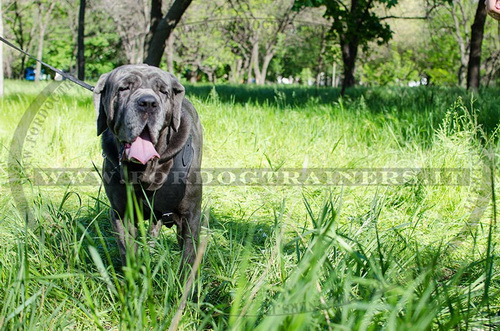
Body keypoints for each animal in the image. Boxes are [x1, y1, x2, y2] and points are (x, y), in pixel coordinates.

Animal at [93, 65, 202, 270]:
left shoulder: (190, 215)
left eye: (163, 91)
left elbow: (188, 257)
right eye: (124, 88)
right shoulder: (121, 213)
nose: (148, 103)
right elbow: (128, 251)